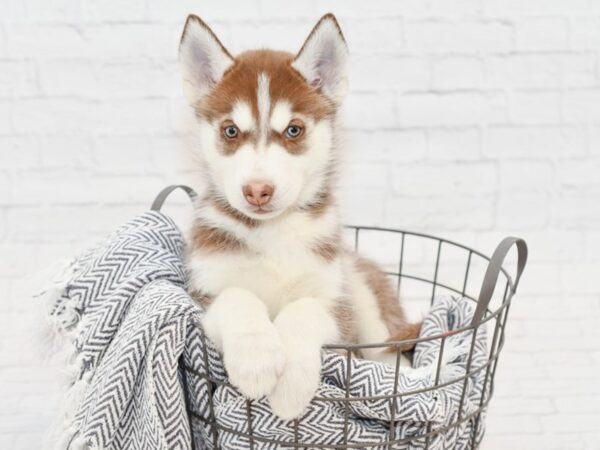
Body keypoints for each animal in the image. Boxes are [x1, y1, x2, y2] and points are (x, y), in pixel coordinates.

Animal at [180, 14, 420, 422]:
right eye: (231, 130)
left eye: (293, 130)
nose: (257, 190)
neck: (271, 233)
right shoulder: (201, 295)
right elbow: (237, 296)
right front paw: (257, 358)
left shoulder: (338, 309)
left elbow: (303, 309)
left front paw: (290, 385)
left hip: (365, 297)